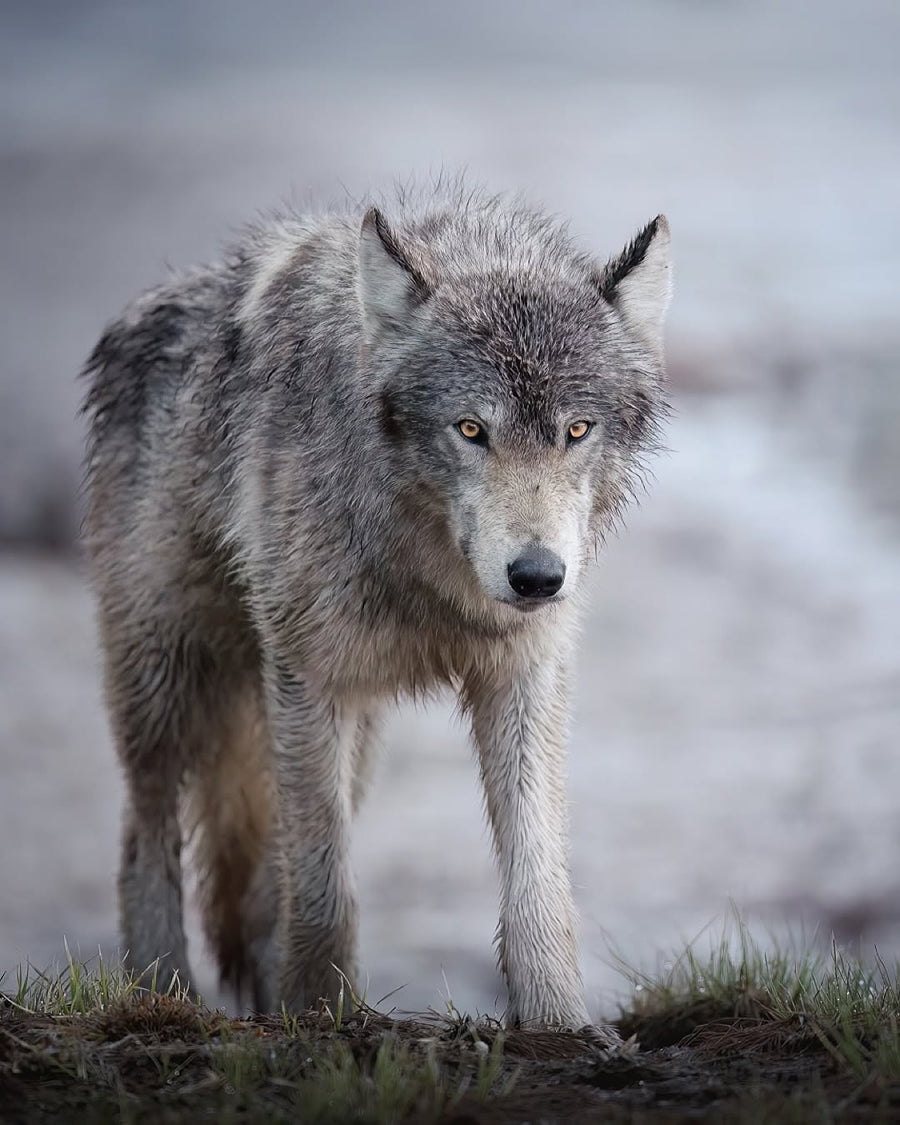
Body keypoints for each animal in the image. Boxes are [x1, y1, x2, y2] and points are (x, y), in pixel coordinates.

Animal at [82, 182, 671, 1034]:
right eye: (471, 429)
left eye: (577, 429)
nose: (536, 576)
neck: (428, 578)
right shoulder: (308, 679)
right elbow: (326, 886)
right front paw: (324, 1017)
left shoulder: (523, 674)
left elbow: (536, 875)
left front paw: (559, 1020)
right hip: (172, 679)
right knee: (145, 834)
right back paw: (161, 993)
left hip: (346, 737)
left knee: (260, 887)